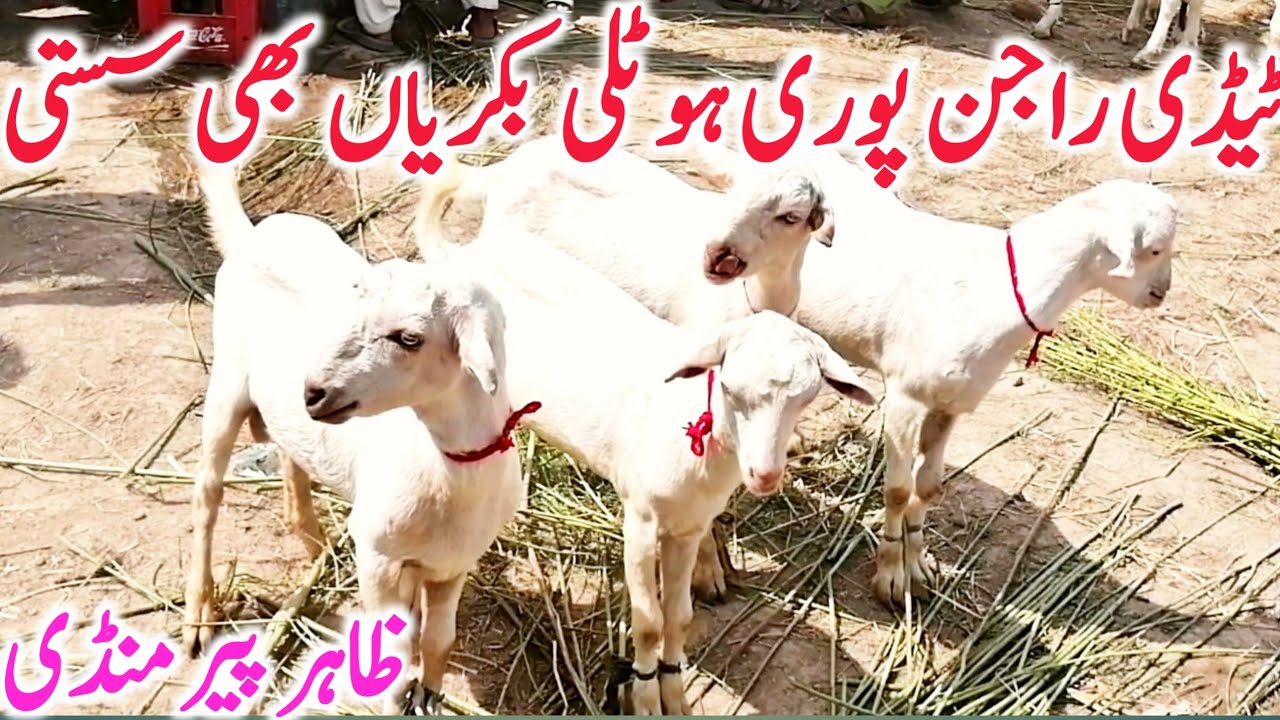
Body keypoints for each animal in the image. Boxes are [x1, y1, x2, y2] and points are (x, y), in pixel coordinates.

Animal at [187, 162, 529, 715]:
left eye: (409, 338)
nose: (313, 391)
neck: (450, 473)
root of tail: (255, 233)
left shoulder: (454, 563)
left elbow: (437, 640)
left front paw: (429, 693)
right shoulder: (377, 553)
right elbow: (392, 652)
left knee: (291, 457)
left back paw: (311, 541)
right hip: (226, 383)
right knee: (207, 495)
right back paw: (199, 610)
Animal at [416, 215, 876, 715]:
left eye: (807, 397)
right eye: (727, 387)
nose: (765, 475)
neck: (691, 424)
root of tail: (457, 253)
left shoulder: (688, 528)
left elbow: (678, 617)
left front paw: (674, 693)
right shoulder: (639, 520)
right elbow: (649, 621)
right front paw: (644, 696)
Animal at [695, 146, 1177, 605]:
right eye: (1154, 249)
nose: (1161, 293)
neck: (994, 289)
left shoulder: (951, 402)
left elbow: (928, 487)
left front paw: (918, 566)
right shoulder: (904, 396)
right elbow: (896, 489)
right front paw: (891, 576)